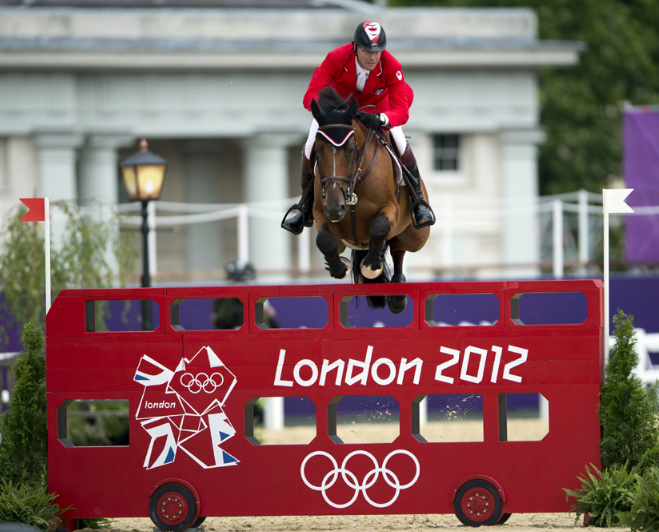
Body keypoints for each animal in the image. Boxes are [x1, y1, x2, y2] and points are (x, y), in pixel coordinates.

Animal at [310, 86, 430, 312]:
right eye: (318, 151)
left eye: (351, 149)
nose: (335, 208)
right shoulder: (321, 213)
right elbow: (325, 240)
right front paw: (339, 268)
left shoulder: (391, 209)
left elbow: (380, 227)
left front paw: (371, 265)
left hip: (415, 236)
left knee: (399, 247)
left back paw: (396, 291)